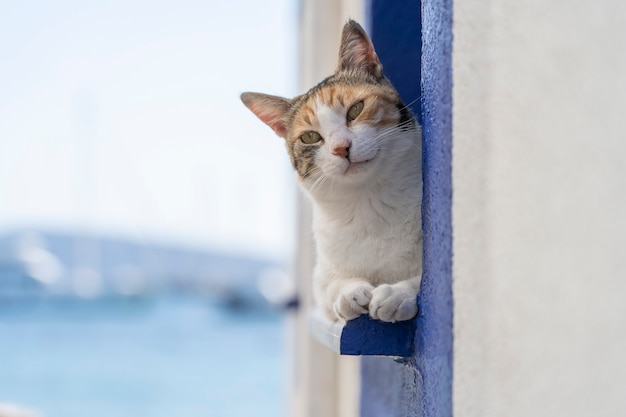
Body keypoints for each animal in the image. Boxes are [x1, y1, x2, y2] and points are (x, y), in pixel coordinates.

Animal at [241, 19, 422, 322]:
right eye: (310, 137)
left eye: (356, 109)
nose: (341, 148)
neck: (369, 202)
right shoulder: (320, 279)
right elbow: (329, 287)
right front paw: (349, 293)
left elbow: (425, 280)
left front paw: (397, 293)